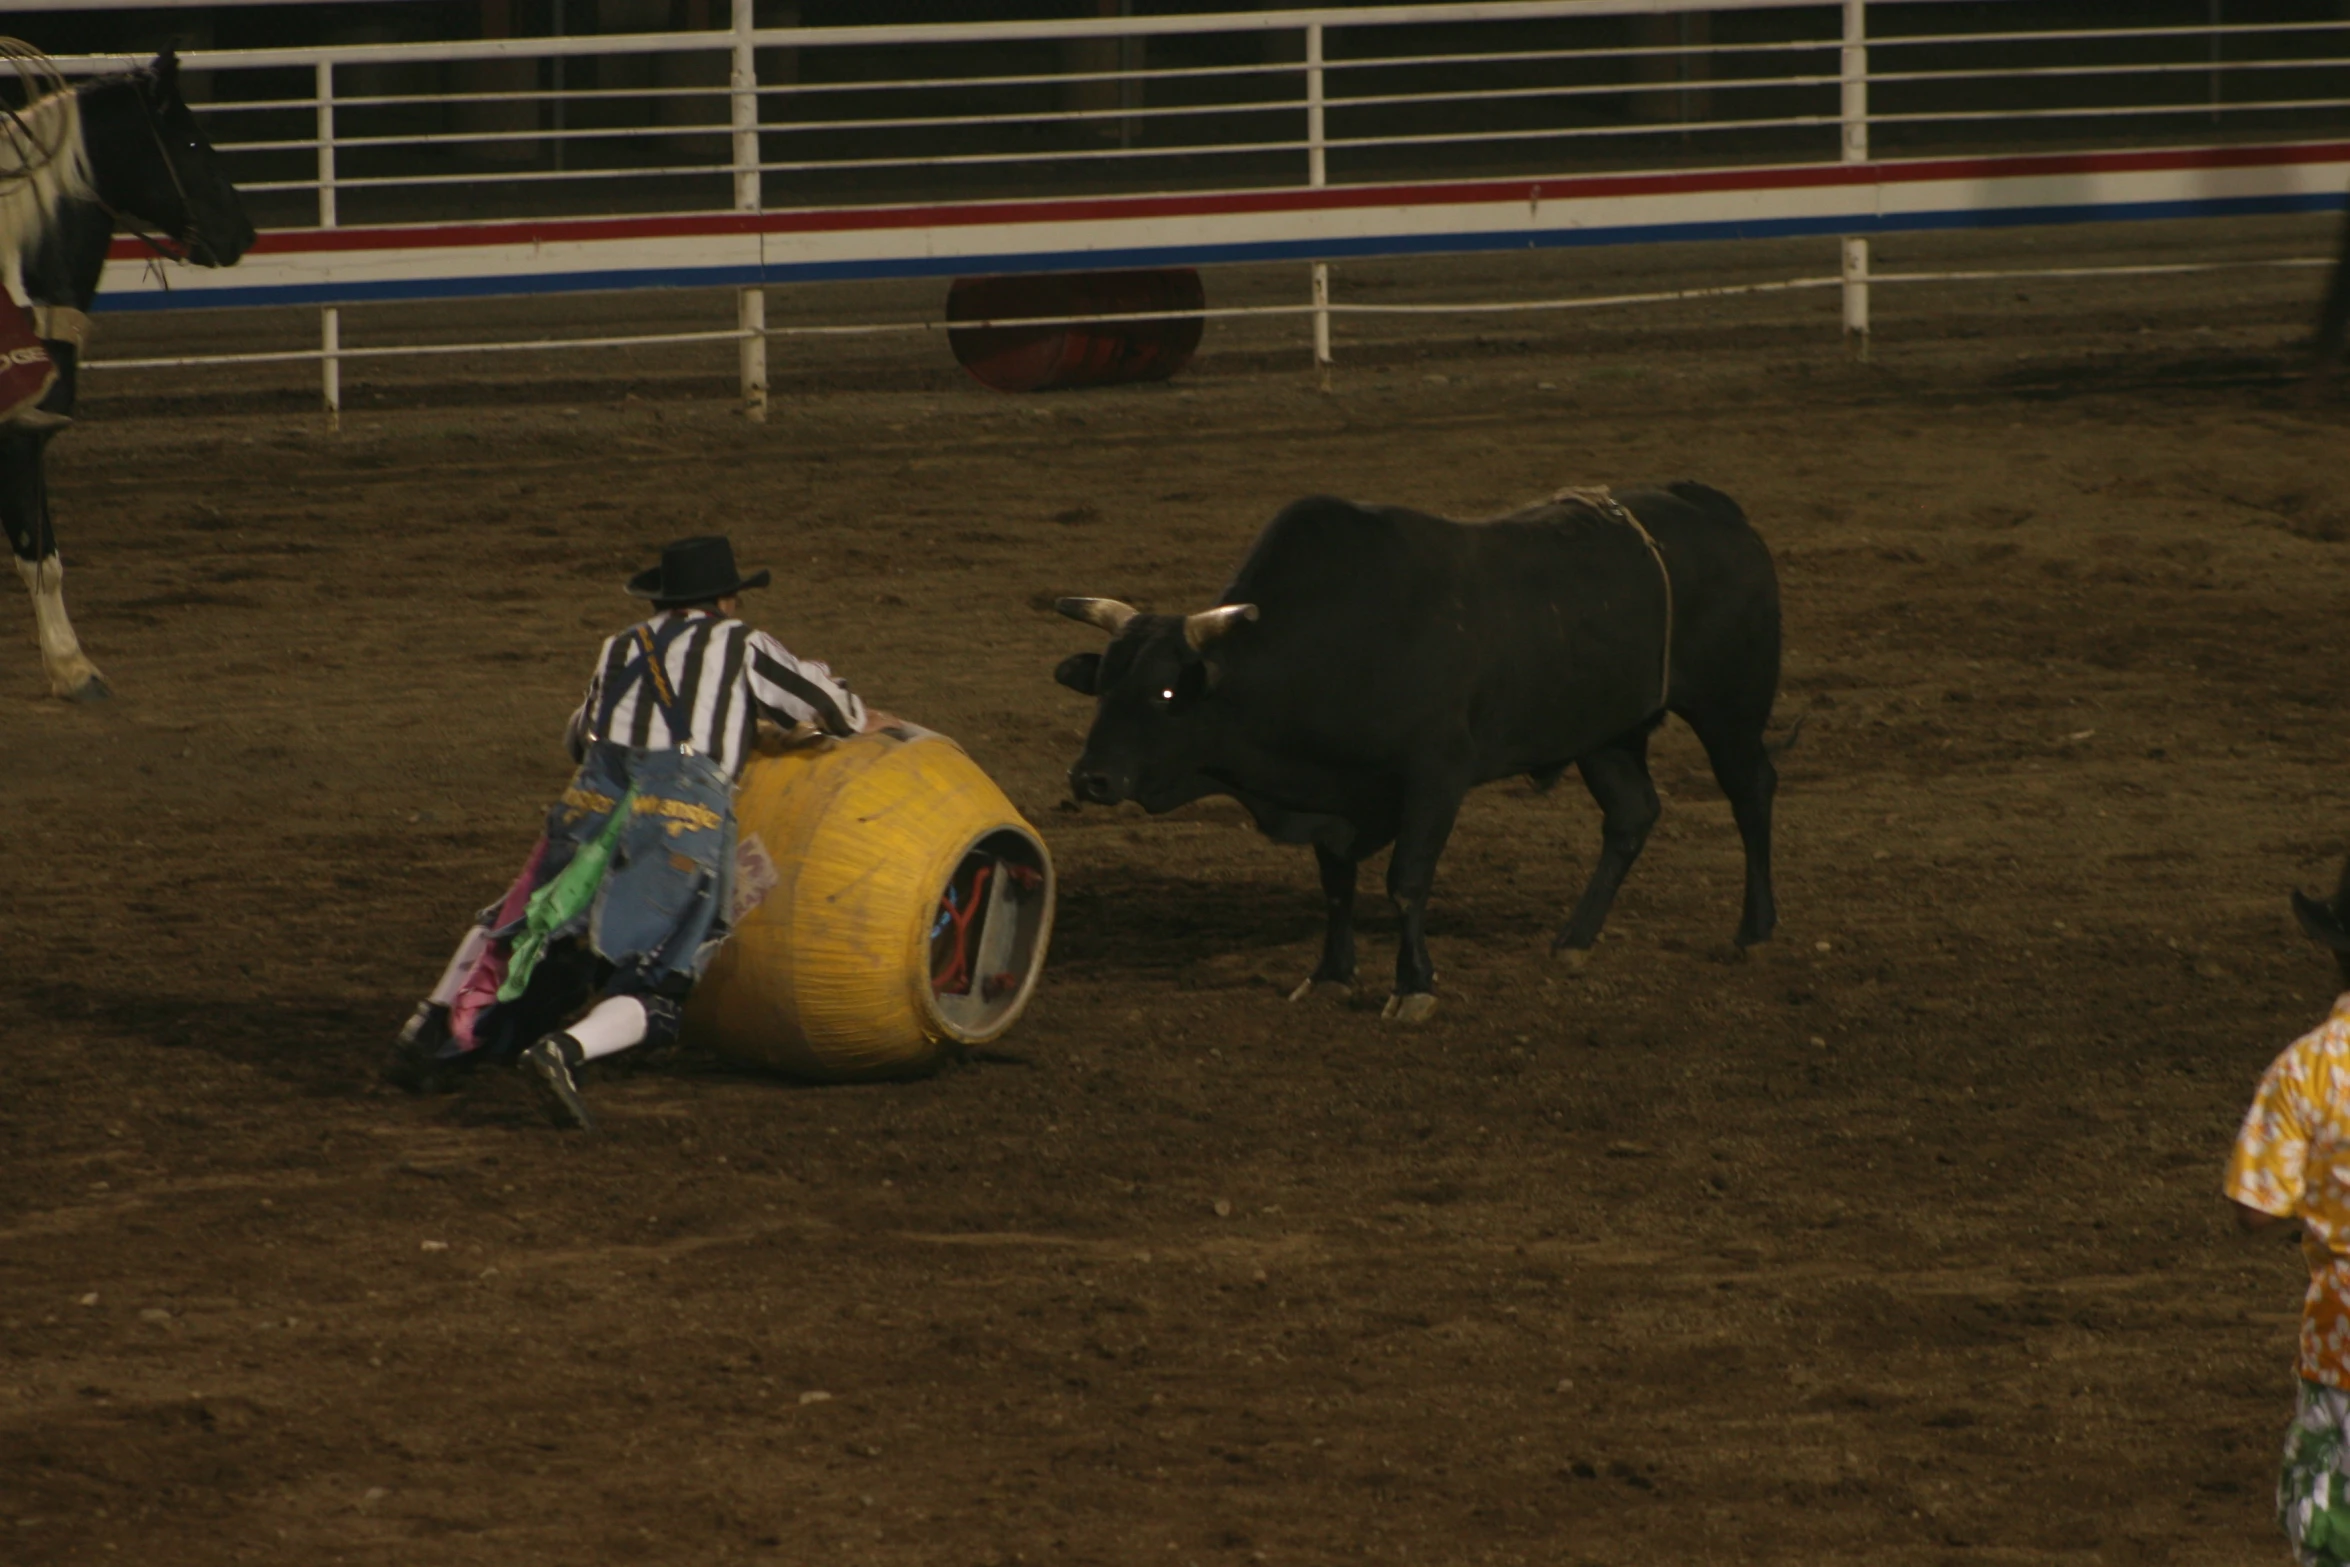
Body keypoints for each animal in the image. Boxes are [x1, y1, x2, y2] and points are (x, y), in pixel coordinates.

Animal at [1, 49, 252, 700]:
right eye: (191, 140)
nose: (245, 232)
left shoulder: (32, 437)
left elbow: (47, 558)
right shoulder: (16, 442)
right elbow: (36, 555)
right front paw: (72, 667)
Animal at [1052, 483, 1776, 1024]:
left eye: (1167, 691)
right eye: (1103, 685)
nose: (1091, 778)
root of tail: (1718, 511)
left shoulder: (1436, 777)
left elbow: (1406, 880)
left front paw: (1414, 986)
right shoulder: (1332, 797)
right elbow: (1336, 884)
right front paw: (1331, 974)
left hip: (1730, 706)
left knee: (1751, 794)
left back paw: (1755, 930)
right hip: (1603, 733)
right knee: (1631, 815)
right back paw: (1573, 941)